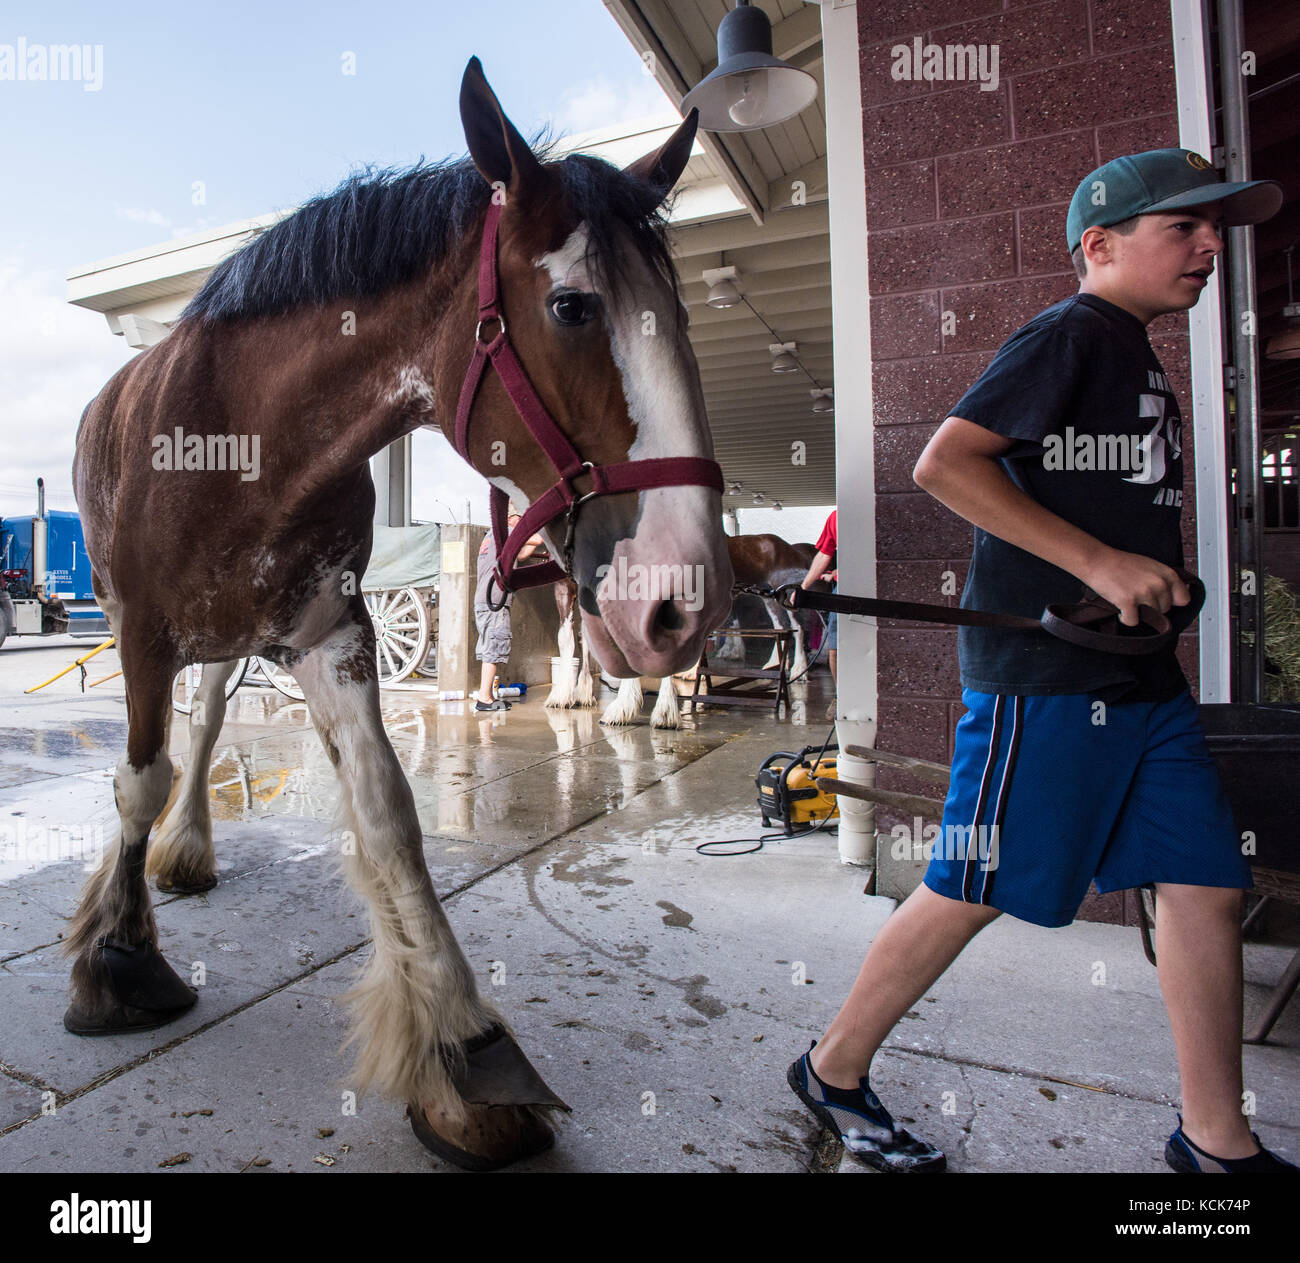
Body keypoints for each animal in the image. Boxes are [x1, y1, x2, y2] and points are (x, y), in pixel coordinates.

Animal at [68, 61, 733, 1174]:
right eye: (571, 305)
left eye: (682, 317)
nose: (682, 600)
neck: (239, 436)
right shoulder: (143, 634)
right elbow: (136, 779)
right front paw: (116, 958)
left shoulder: (329, 635)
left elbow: (386, 815)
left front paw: (464, 1052)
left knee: (211, 722)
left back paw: (191, 843)